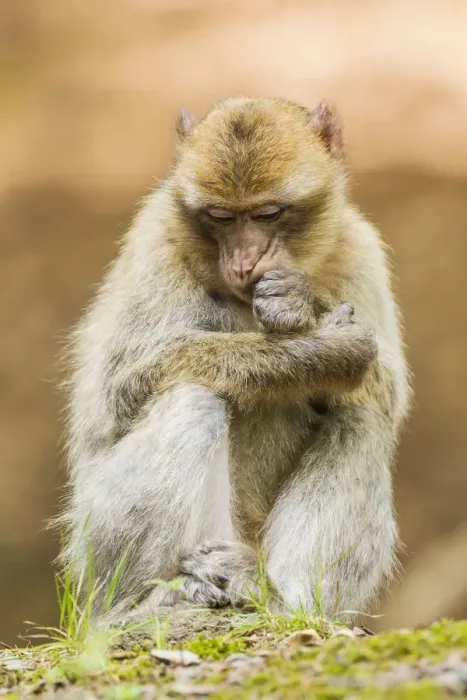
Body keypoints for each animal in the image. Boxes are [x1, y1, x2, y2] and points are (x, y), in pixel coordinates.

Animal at [59, 97, 410, 623]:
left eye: (268, 213)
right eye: (221, 217)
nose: (246, 262)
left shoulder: (358, 247)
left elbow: (386, 391)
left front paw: (299, 302)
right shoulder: (155, 241)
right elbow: (121, 390)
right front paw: (320, 353)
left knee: (360, 417)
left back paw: (279, 597)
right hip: (95, 548)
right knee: (192, 399)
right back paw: (145, 600)